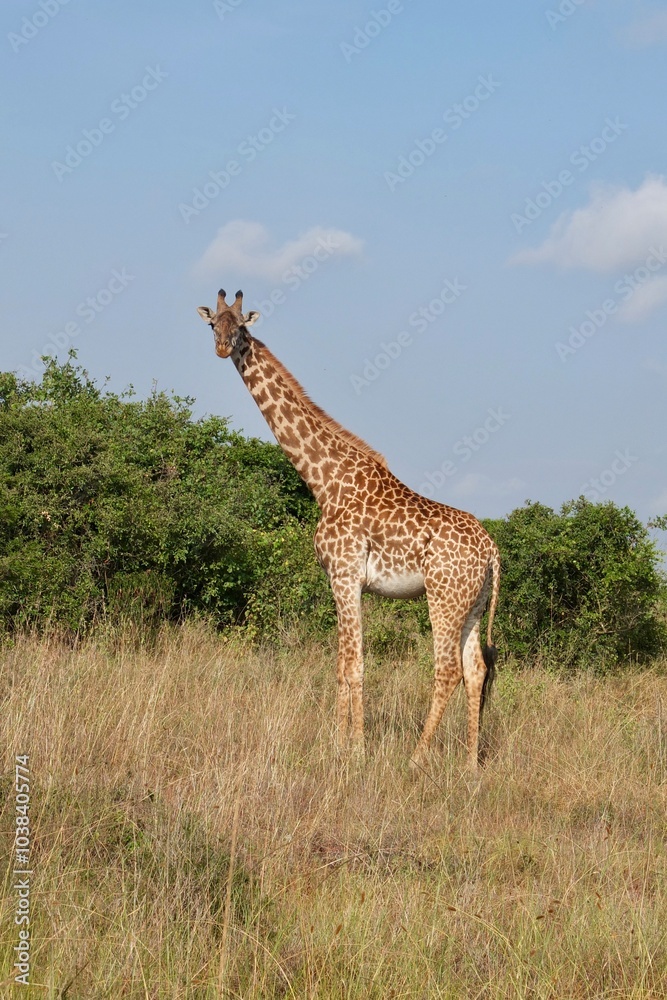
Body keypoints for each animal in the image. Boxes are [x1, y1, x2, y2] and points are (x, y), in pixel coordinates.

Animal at [197, 288, 500, 769]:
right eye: (213, 325)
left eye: (241, 325)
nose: (224, 347)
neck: (324, 480)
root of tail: (492, 551)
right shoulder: (341, 581)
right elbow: (341, 664)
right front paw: (337, 743)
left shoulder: (345, 575)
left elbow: (354, 663)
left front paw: (355, 749)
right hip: (474, 602)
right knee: (476, 670)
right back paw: (470, 764)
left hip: (443, 596)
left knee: (448, 669)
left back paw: (415, 758)